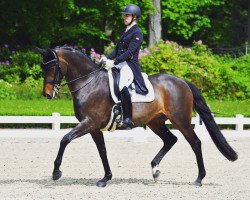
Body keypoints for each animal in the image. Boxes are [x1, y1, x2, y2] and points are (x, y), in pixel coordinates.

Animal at [36, 45, 237, 188]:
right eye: (42, 68)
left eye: (53, 67)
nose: (47, 94)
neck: (88, 83)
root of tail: (182, 81)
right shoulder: (94, 127)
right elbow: (102, 151)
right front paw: (106, 178)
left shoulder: (89, 123)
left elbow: (65, 139)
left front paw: (56, 172)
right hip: (156, 122)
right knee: (170, 140)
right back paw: (155, 170)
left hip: (181, 121)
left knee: (195, 143)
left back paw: (199, 178)